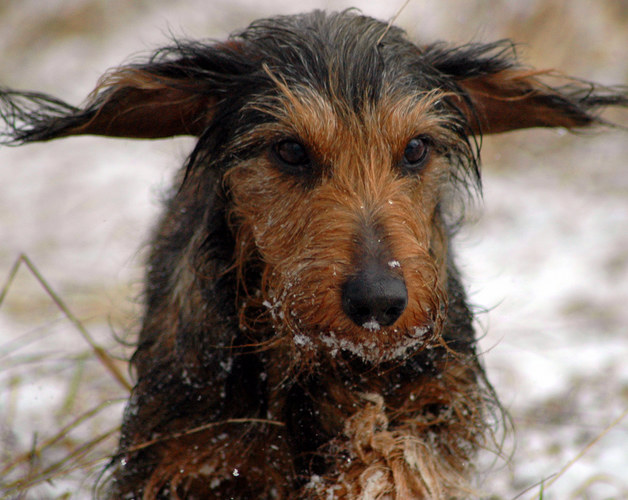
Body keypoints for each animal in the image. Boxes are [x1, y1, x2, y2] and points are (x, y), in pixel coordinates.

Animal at [2, 8, 624, 500]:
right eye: (290, 150)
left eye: (416, 148)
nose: (379, 302)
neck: (312, 356)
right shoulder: (185, 453)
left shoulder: (427, 412)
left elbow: (394, 463)